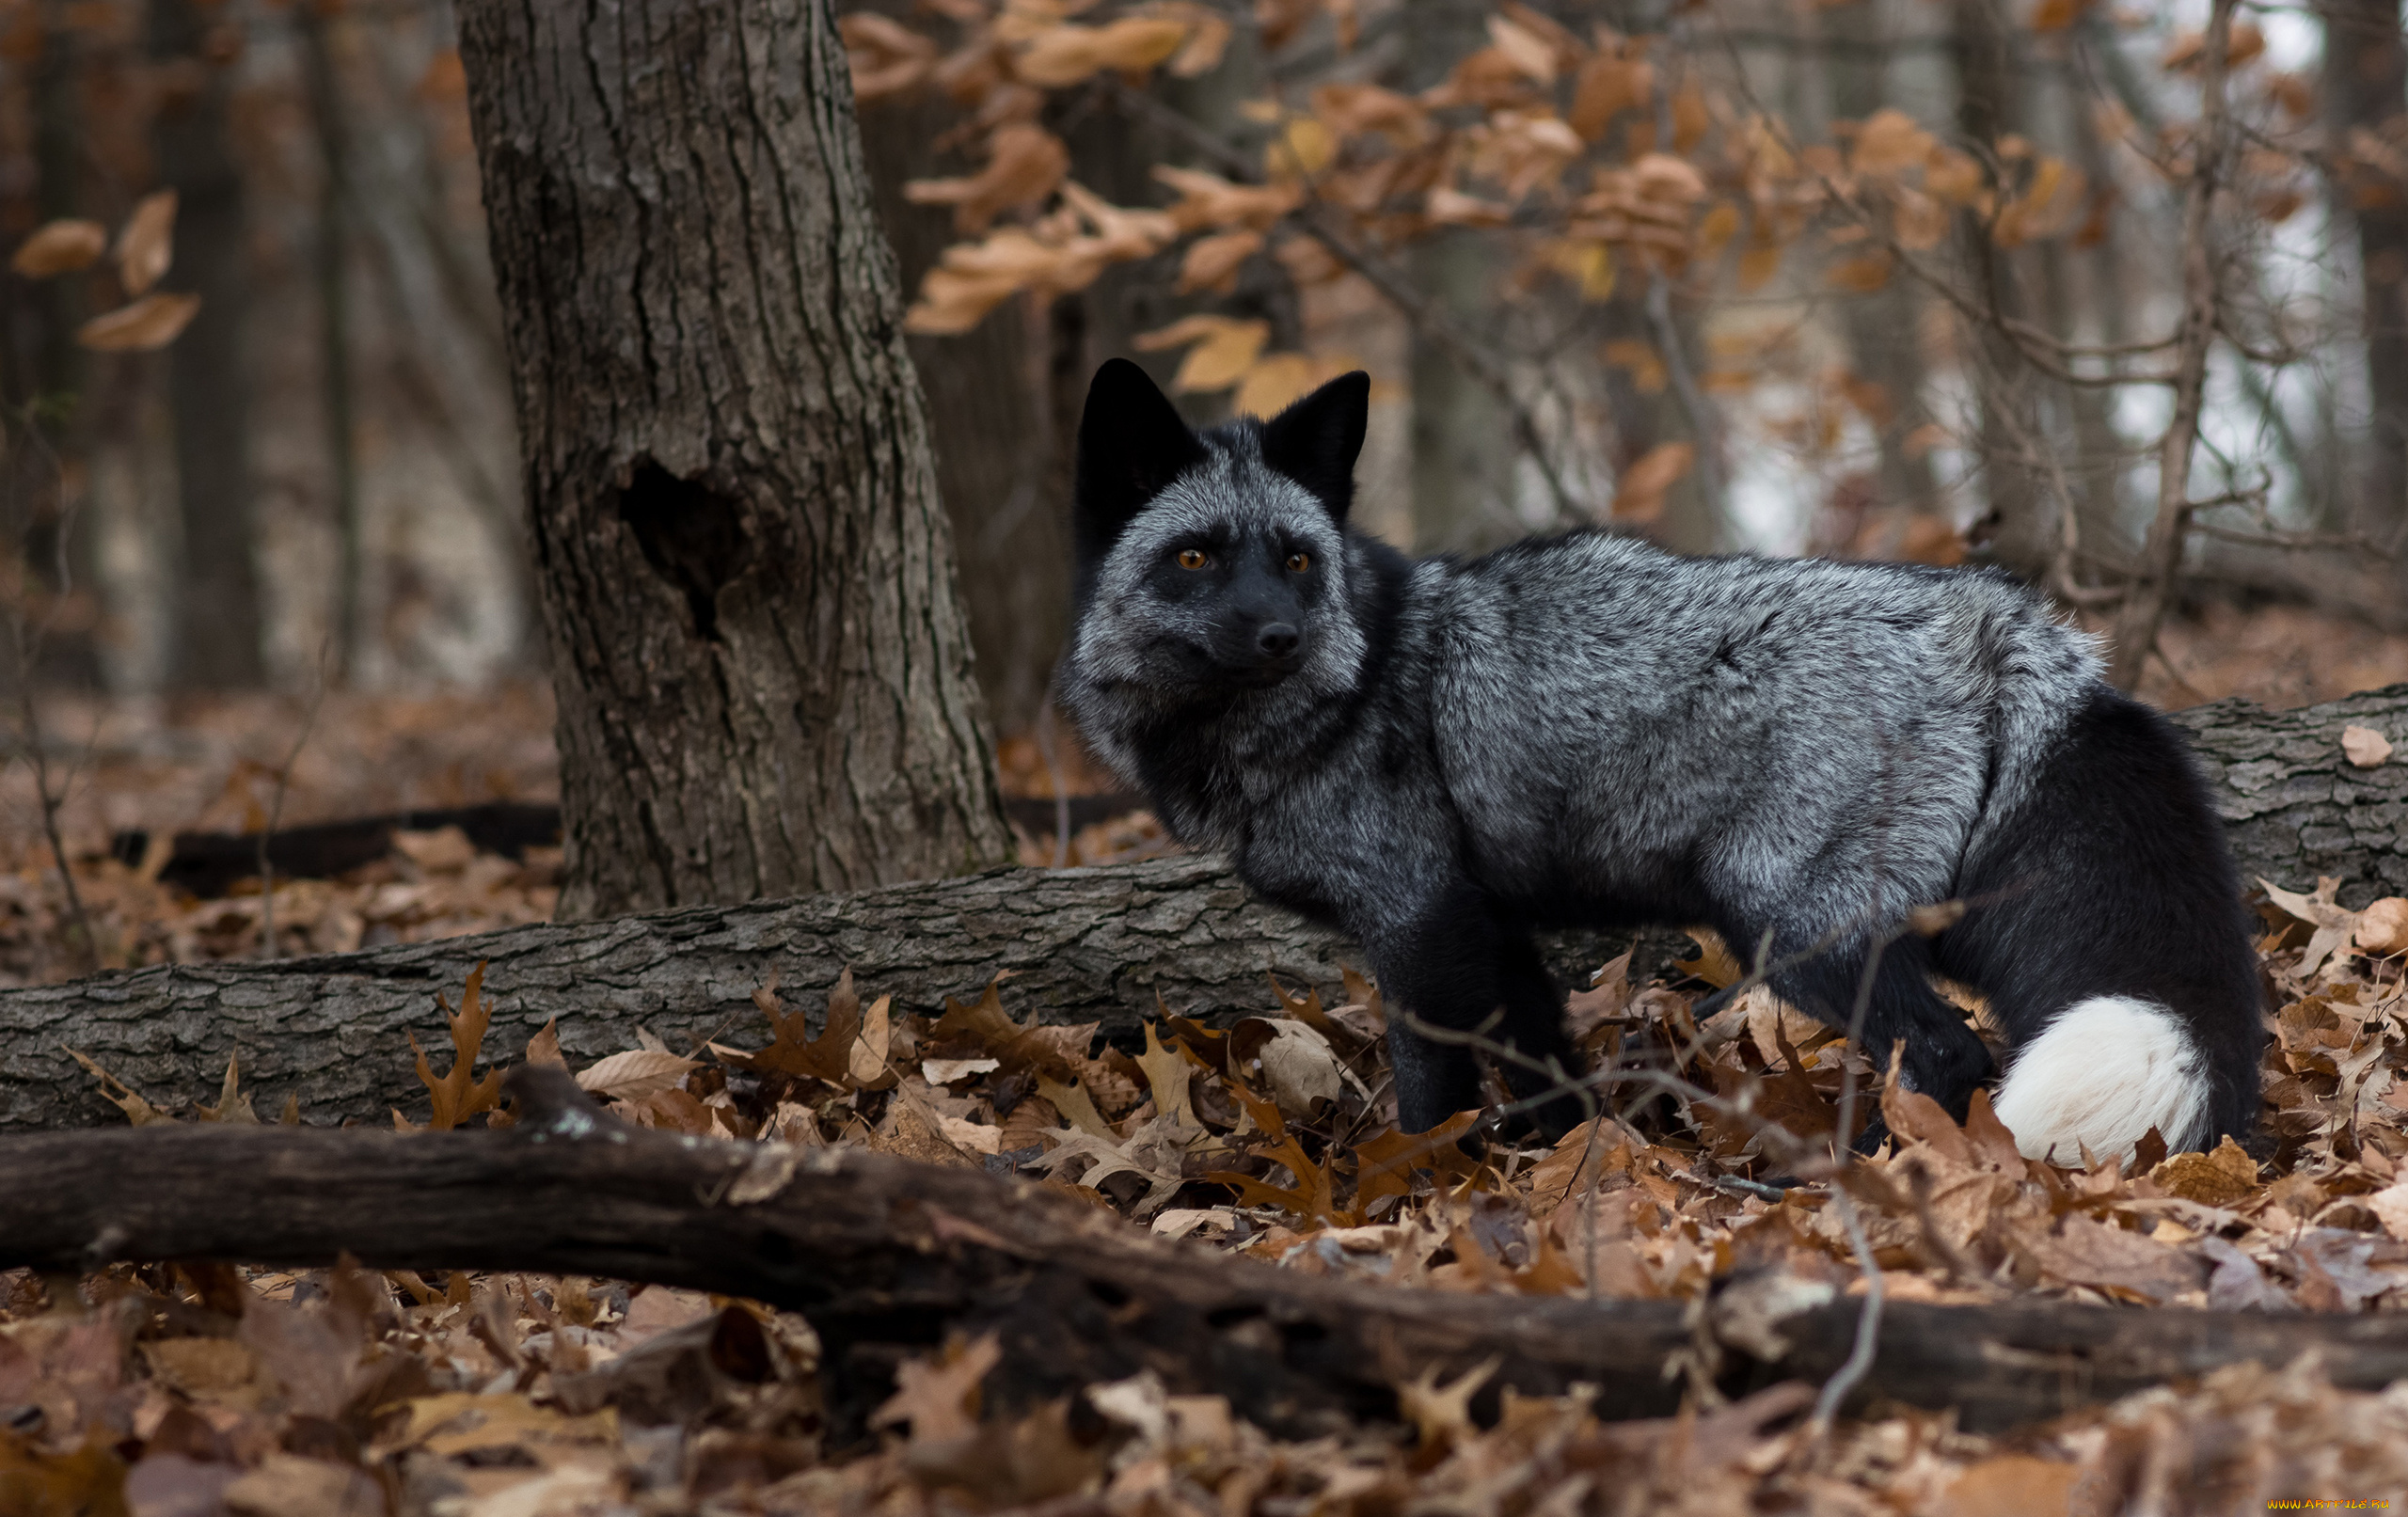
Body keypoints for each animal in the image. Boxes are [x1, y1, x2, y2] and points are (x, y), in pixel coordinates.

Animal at [1057, 357, 2265, 1161]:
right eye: (1195, 557)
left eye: (1298, 560)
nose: (1280, 636)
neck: (1352, 682)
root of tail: (1995, 617)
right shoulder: (1490, 923)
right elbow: (1544, 1072)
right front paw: (1551, 1170)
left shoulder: (1416, 919)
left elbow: (1429, 1089)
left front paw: (1420, 1189)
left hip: (1791, 923)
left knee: (1950, 1053)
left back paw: (1876, 1173)